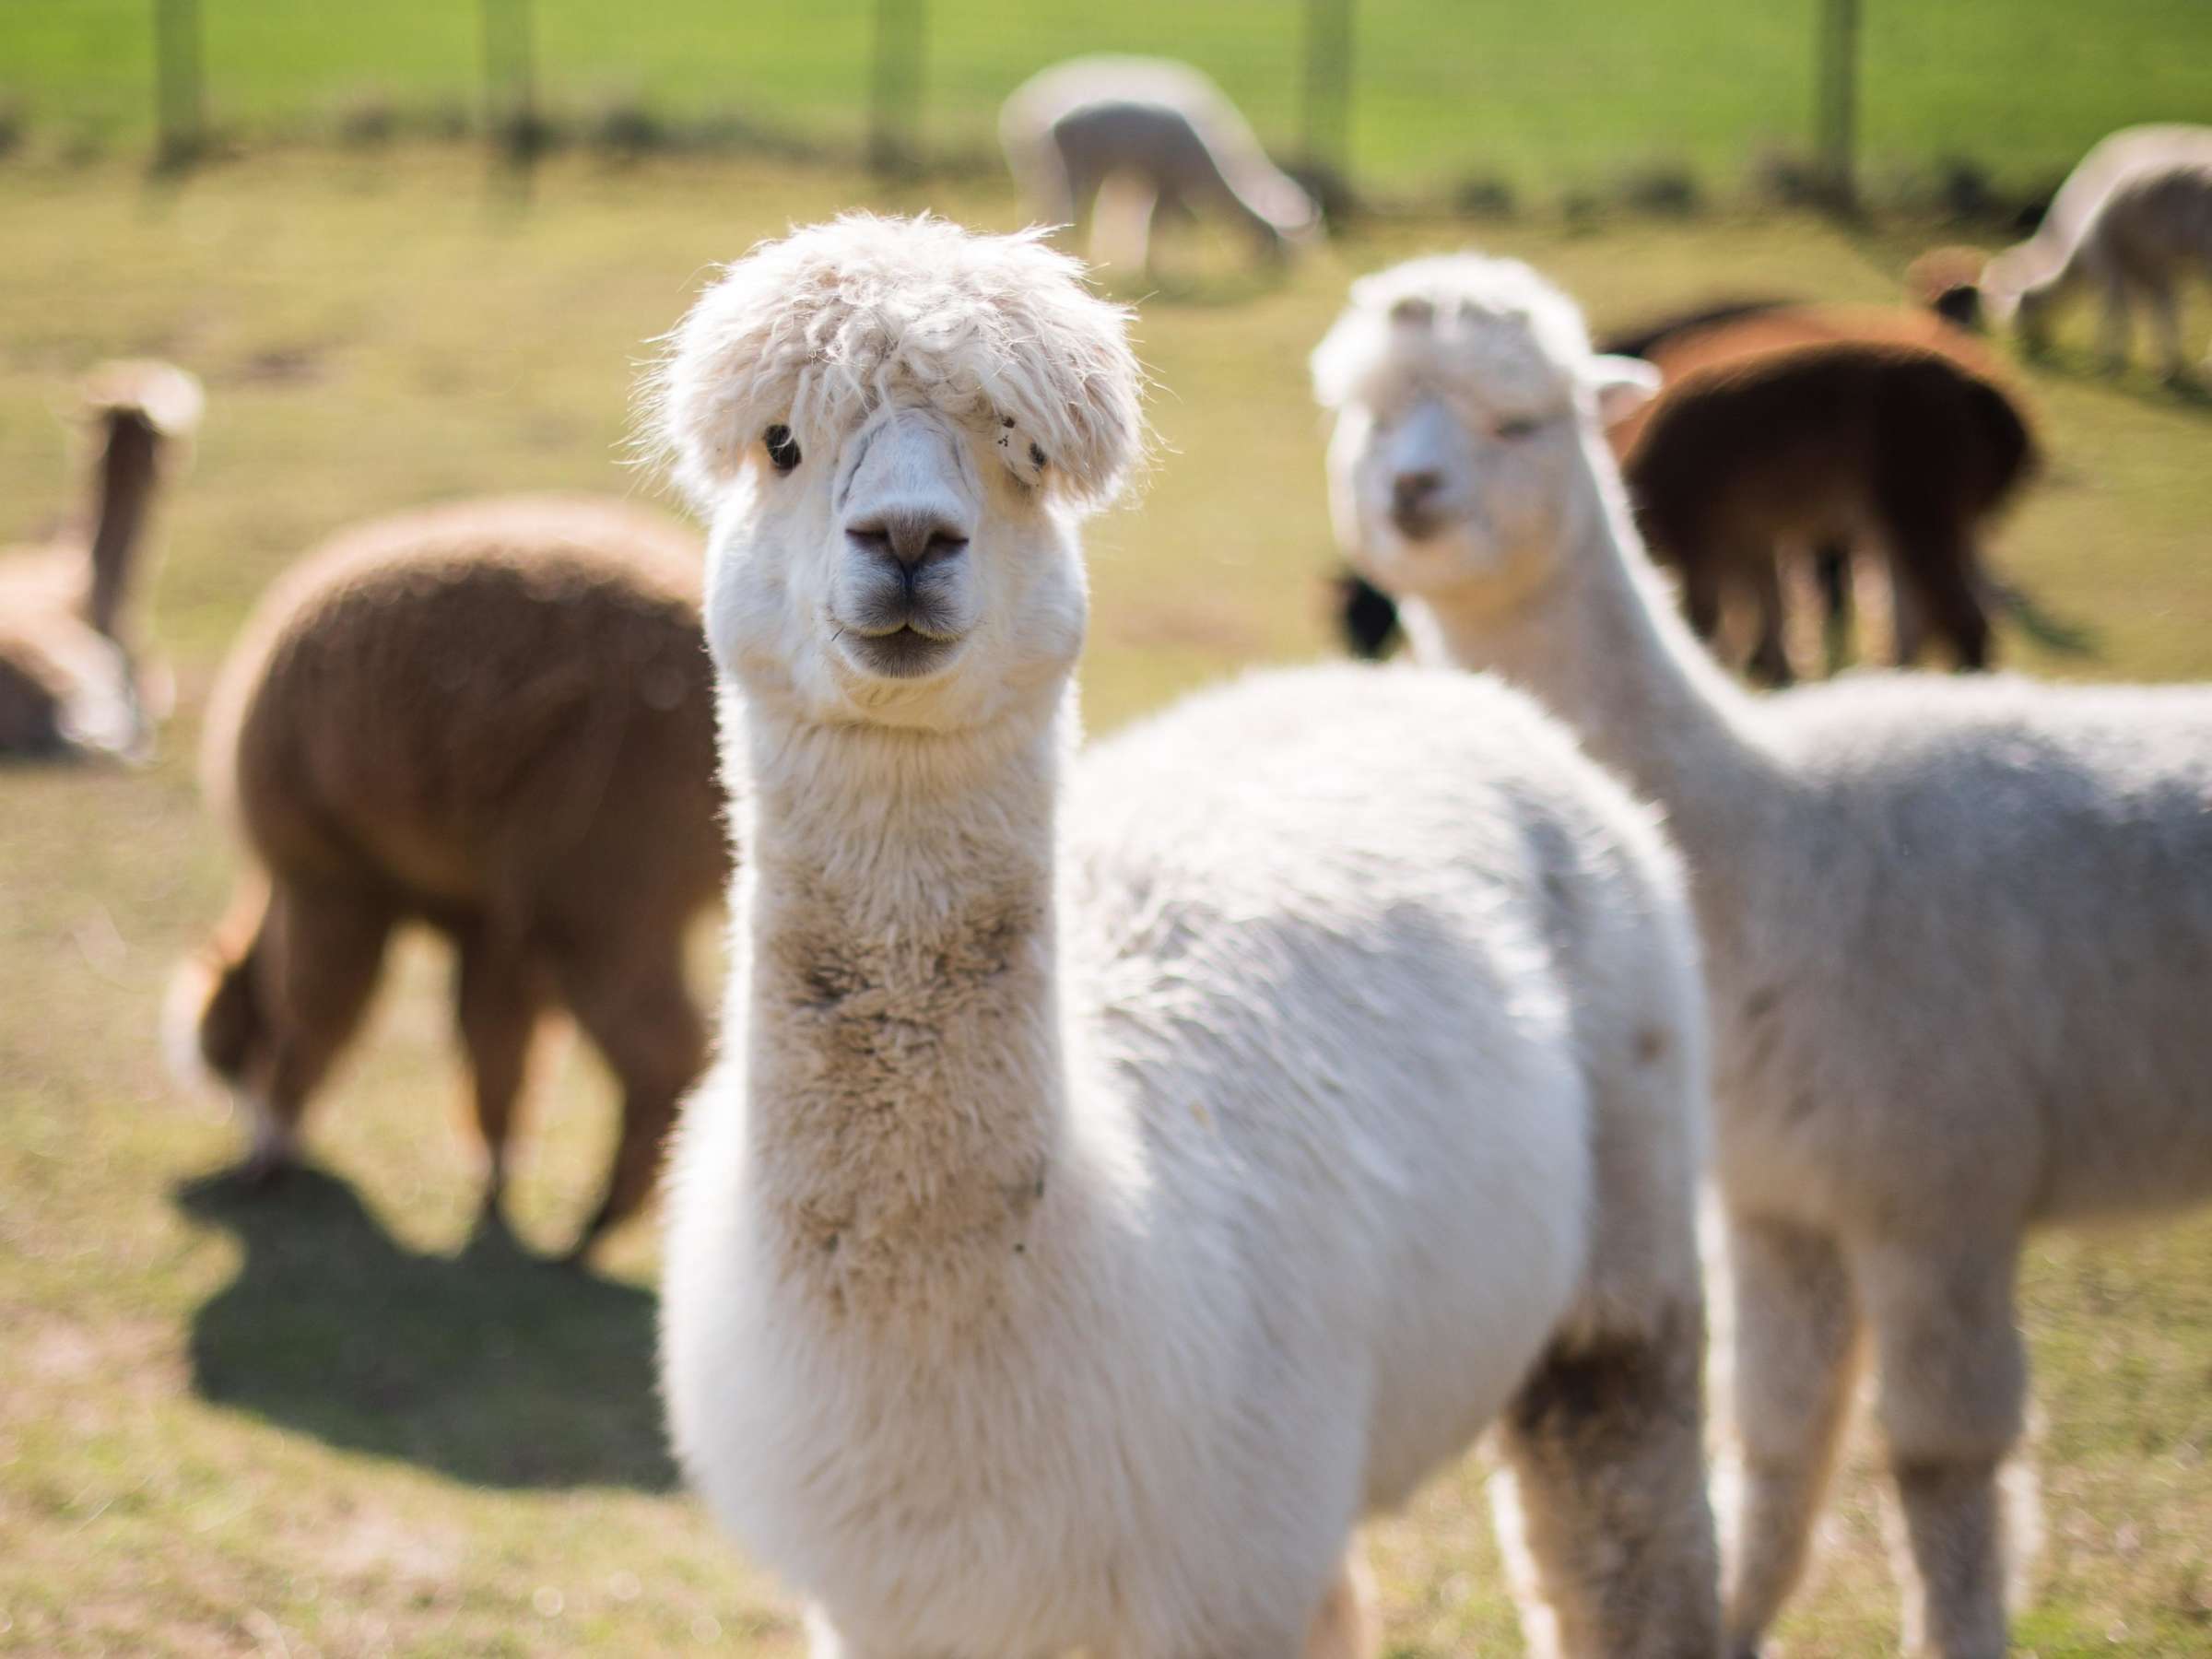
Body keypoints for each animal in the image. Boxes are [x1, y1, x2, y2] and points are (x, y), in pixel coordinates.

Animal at [171, 494, 726, 1262]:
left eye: (224, 1049)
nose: (228, 1099)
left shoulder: (333, 880)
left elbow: (315, 1009)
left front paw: (269, 1156)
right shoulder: (488, 917)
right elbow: (497, 1046)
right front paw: (493, 1196)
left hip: (602, 880)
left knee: (670, 1052)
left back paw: (601, 1220)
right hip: (594, 891)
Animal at [654, 214, 1720, 1658]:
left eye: (1021, 449)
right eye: (782, 443)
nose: (910, 537)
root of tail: (1469, 705)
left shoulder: (1214, 1568)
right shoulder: (889, 1602)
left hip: (1630, 1244)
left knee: (1628, 1521)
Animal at [1000, 56, 1320, 277]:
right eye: (1274, 239)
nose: (1285, 273)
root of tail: (1022, 111)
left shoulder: (1149, 180)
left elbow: (1149, 220)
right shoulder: (1167, 179)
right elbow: (1164, 224)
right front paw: (1160, 271)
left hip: (1039, 166)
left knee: (1038, 208)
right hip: (1076, 164)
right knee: (1067, 211)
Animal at [1314, 251, 2212, 1659]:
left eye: (1523, 420)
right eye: (1367, 414)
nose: (1414, 494)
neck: (1772, 841)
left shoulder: (1937, 1178)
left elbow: (1943, 1463)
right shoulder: (1783, 1191)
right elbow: (1777, 1450)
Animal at [1975, 124, 2212, 380]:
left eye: (2022, 303)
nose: (2014, 341)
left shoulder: (2109, 263)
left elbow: (2116, 313)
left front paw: (2110, 361)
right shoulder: (2149, 270)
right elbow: (2163, 312)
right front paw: (2169, 367)